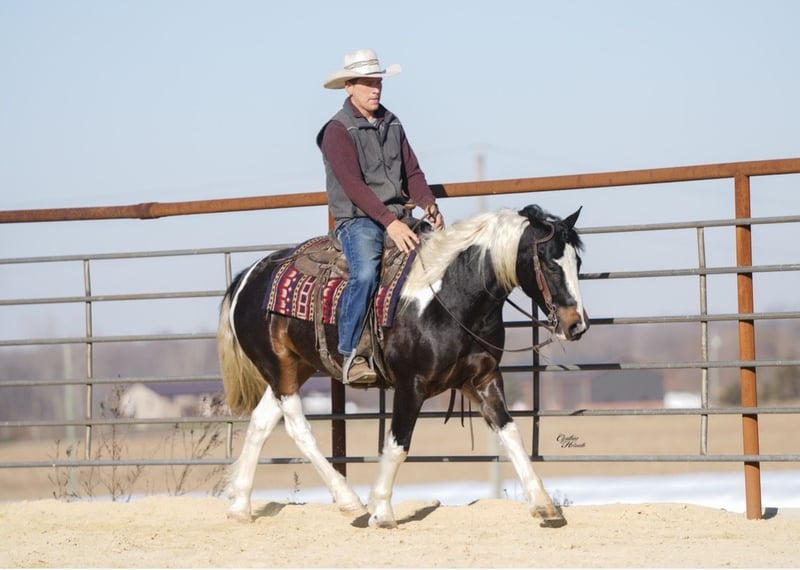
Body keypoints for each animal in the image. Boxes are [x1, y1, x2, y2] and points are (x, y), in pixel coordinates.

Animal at [217, 204, 589, 528]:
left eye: (578, 262)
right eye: (550, 264)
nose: (577, 325)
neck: (448, 296)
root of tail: (248, 277)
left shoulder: (483, 378)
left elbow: (511, 434)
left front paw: (544, 504)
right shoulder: (411, 385)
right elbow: (398, 445)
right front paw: (382, 510)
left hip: (296, 368)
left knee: (261, 422)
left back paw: (240, 506)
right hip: (277, 365)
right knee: (298, 428)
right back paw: (349, 500)